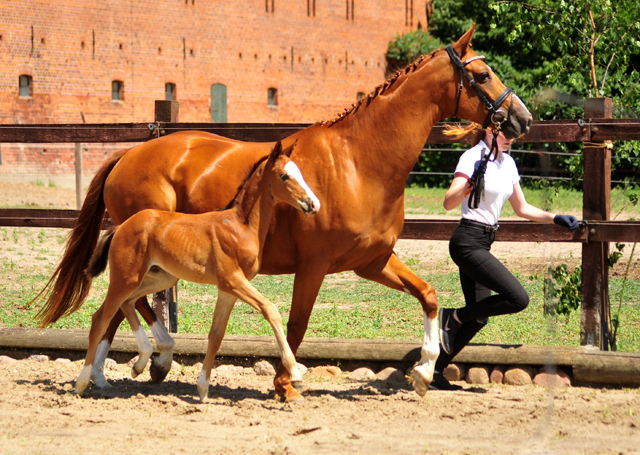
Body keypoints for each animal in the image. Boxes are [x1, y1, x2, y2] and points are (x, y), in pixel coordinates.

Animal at [75, 141, 320, 400]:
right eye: (284, 176)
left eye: (300, 173)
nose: (313, 204)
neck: (239, 227)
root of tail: (121, 227)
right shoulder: (233, 280)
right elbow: (271, 309)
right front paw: (296, 375)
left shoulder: (228, 290)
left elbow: (216, 335)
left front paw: (202, 389)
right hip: (126, 277)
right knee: (100, 319)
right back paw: (82, 383)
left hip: (158, 278)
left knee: (128, 302)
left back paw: (141, 361)